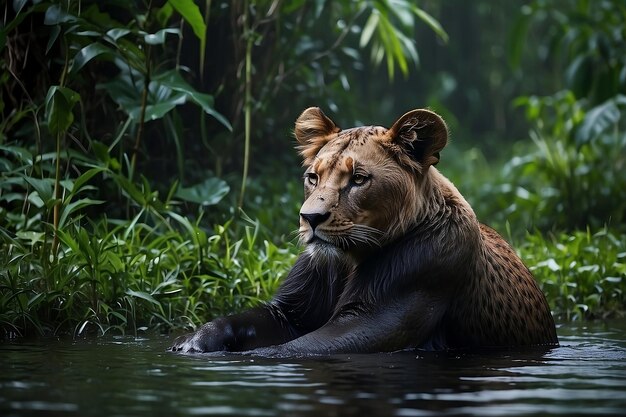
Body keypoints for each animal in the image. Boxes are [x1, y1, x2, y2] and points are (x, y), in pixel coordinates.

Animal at [169, 107, 556, 354]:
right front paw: (191, 342)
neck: (348, 259)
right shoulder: (290, 313)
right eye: (313, 177)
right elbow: (242, 319)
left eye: (358, 179)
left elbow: (292, 350)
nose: (310, 218)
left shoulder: (378, 317)